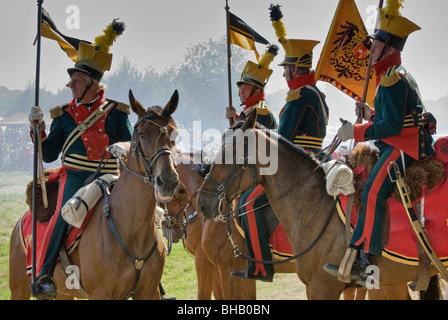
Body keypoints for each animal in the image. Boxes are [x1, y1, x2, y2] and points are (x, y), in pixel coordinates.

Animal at [8, 90, 178, 300]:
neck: (131, 229)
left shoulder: (149, 292)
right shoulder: (101, 293)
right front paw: (36, 123)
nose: (168, 180)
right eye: (142, 135)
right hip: (19, 289)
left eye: (174, 134)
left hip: (64, 293)